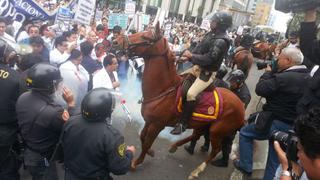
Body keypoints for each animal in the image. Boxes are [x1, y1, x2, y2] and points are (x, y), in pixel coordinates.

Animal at [112, 22, 245, 179]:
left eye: (145, 37)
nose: (115, 42)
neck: (164, 89)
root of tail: (241, 106)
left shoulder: (157, 125)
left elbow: (146, 142)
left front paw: (136, 162)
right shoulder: (149, 121)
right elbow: (142, 137)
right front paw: (150, 152)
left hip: (216, 131)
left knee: (215, 149)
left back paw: (196, 170)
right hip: (203, 123)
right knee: (196, 135)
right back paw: (175, 146)